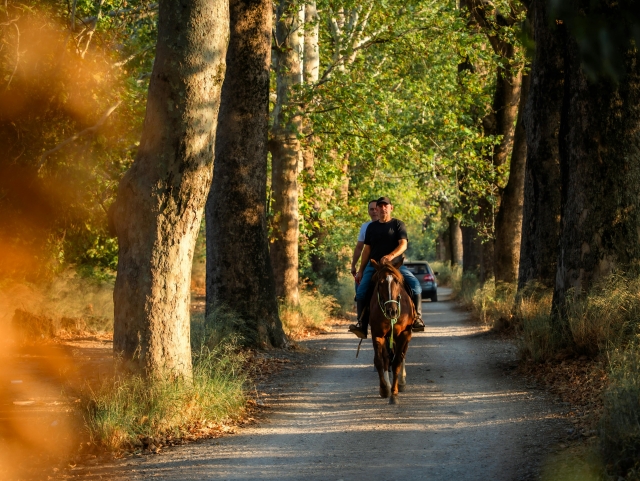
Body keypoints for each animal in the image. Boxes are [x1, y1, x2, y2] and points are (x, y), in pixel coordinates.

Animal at [368, 257, 415, 405]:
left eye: (397, 282)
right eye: (380, 283)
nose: (392, 311)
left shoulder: (404, 334)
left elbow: (397, 363)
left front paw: (394, 394)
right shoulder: (377, 334)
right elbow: (380, 361)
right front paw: (384, 389)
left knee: (402, 355)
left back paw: (401, 382)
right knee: (387, 358)